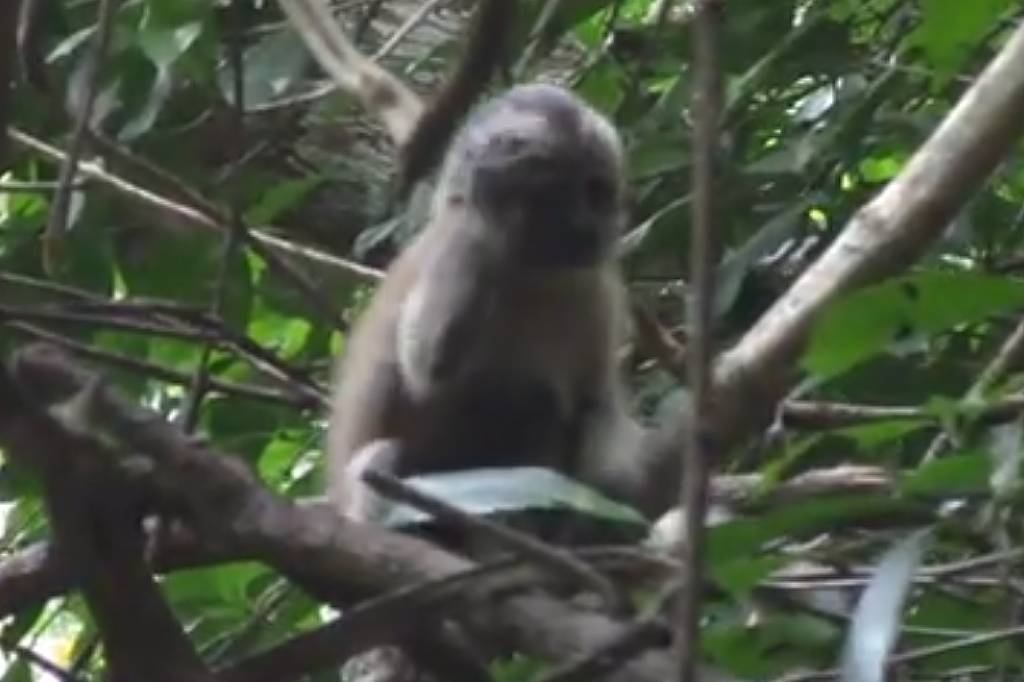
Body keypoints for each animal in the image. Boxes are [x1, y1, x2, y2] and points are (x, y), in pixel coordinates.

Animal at [327, 83, 679, 524]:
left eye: (593, 191)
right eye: (554, 200)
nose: (587, 227)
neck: (532, 270)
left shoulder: (598, 286)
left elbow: (594, 406)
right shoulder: (455, 240)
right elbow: (425, 364)